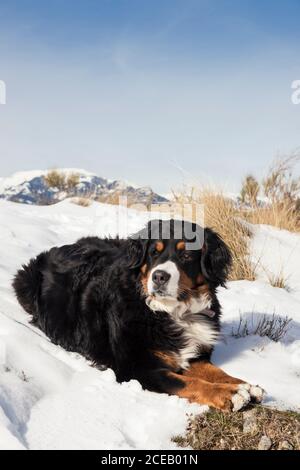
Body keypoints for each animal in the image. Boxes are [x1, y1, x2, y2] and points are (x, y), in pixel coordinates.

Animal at [12, 218, 264, 410]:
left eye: (186, 256)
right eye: (154, 252)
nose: (159, 276)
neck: (173, 312)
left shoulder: (193, 354)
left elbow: (215, 371)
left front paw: (244, 385)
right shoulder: (135, 368)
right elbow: (185, 383)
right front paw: (229, 394)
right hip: (25, 281)